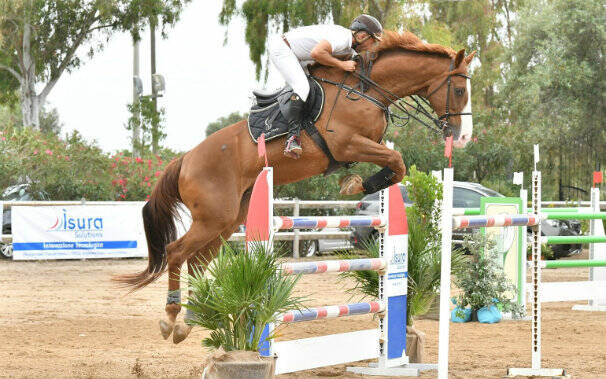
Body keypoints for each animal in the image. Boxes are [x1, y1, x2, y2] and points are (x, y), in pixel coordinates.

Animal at [114, 31, 476, 344]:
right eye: (459, 90)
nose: (462, 137)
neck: (367, 89)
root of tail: (186, 159)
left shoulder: (363, 145)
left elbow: (396, 164)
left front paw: (358, 182)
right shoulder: (347, 143)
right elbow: (397, 161)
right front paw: (357, 184)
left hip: (226, 219)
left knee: (198, 262)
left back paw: (189, 322)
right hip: (214, 217)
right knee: (176, 252)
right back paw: (170, 319)